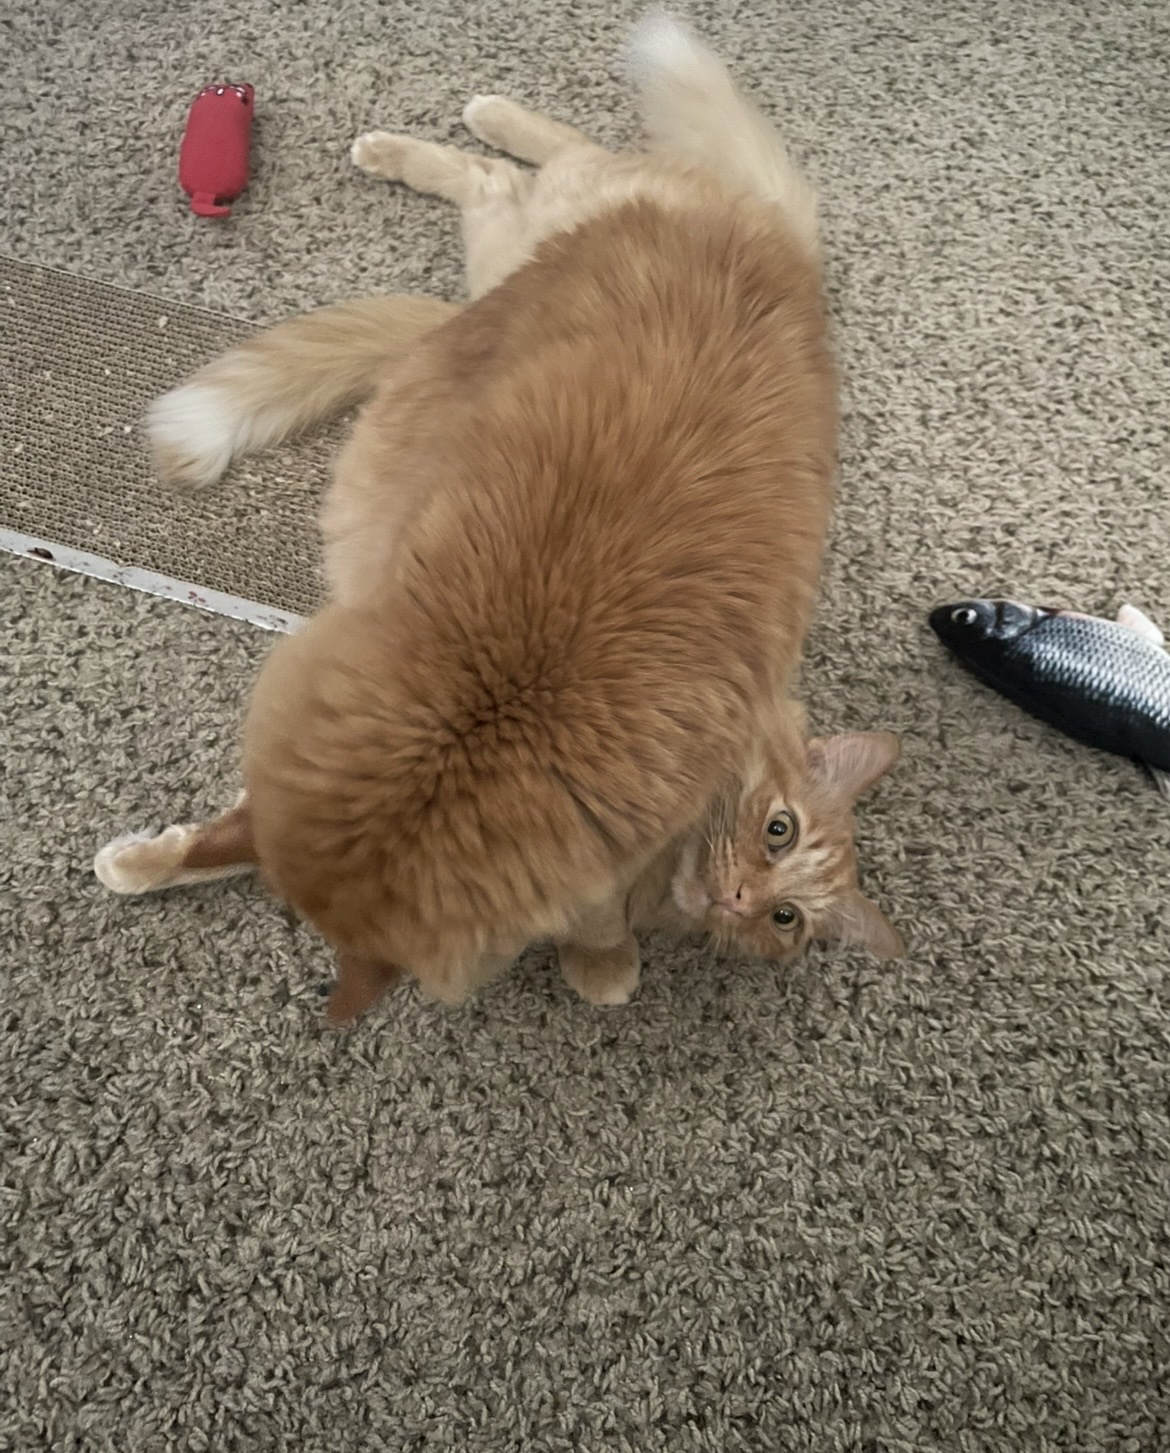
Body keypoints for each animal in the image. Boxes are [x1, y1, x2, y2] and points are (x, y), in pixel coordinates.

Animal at [96, 16, 903, 1021]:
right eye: (778, 830)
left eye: (786, 920)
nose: (742, 899)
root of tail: (775, 239)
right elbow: (598, 927)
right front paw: (606, 966)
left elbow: (228, 837)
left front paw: (141, 862)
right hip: (527, 234)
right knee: (525, 164)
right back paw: (451, 126)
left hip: (498, 267)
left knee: (512, 179)